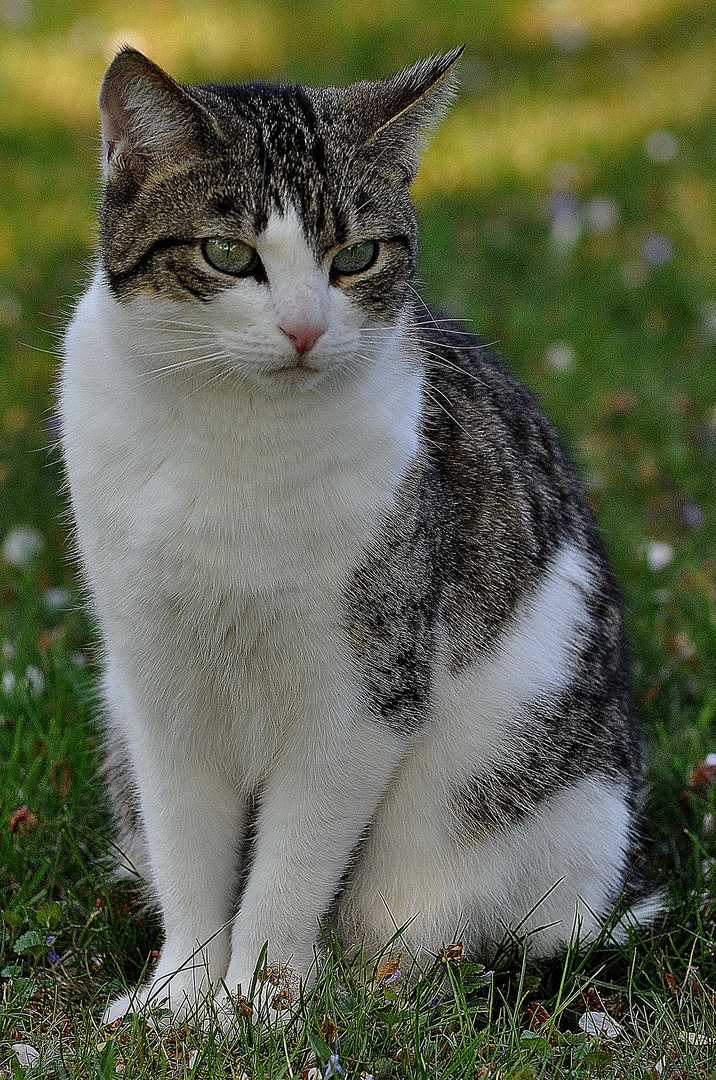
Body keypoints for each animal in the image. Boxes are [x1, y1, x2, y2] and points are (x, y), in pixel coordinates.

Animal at [61, 44, 660, 1028]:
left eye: (356, 257)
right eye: (228, 254)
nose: (305, 328)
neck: (238, 435)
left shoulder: (364, 693)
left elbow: (291, 870)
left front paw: (258, 1006)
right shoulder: (156, 682)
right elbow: (188, 851)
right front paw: (182, 999)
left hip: (512, 804)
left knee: (418, 931)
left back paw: (353, 984)